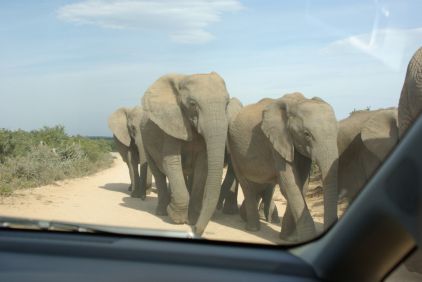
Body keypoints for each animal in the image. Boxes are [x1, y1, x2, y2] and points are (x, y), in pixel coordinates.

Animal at [140, 71, 236, 235]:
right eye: (193, 104)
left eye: (227, 104)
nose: (196, 230)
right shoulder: (172, 123)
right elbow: (171, 162)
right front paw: (177, 218)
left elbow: (203, 166)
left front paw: (192, 219)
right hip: (145, 142)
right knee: (158, 174)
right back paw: (162, 212)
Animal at [227, 93, 340, 242]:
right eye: (307, 134)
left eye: (337, 131)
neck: (297, 102)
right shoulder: (276, 142)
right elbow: (290, 186)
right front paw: (305, 238)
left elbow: (302, 186)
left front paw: (288, 238)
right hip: (234, 151)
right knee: (247, 186)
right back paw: (253, 228)